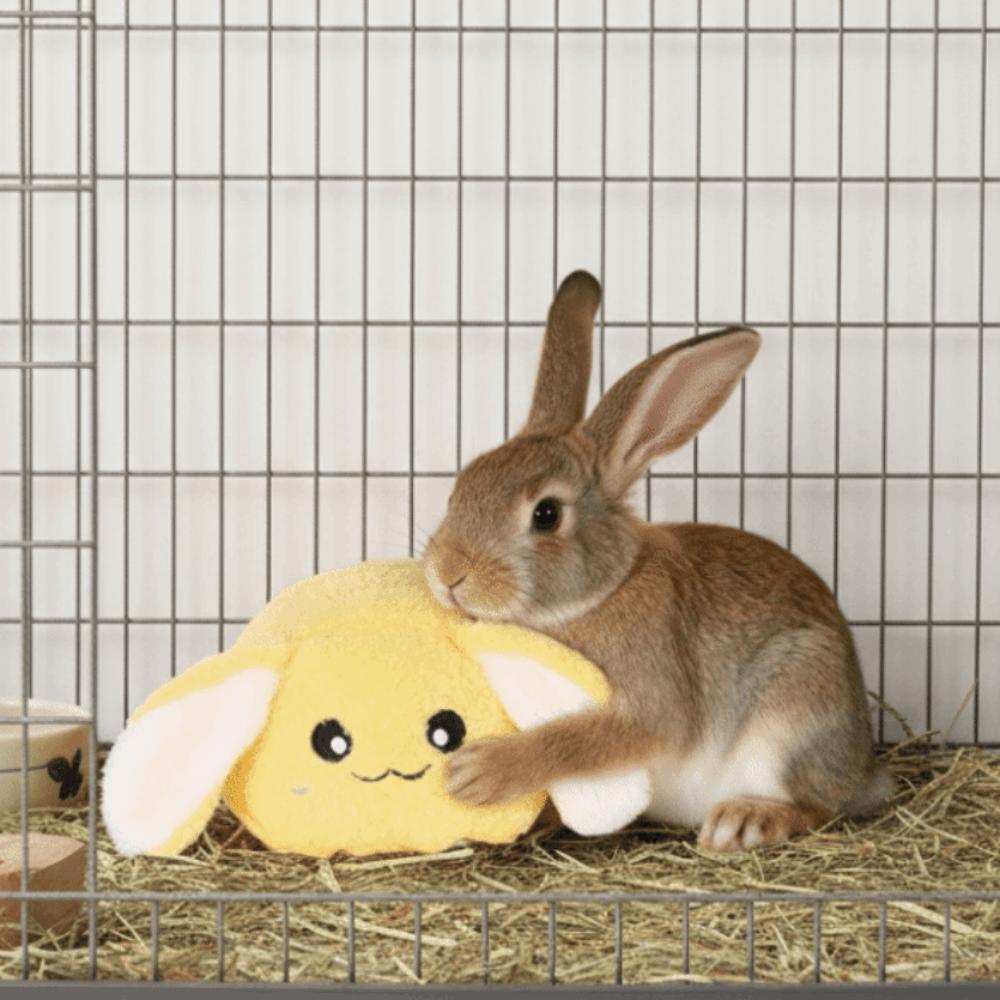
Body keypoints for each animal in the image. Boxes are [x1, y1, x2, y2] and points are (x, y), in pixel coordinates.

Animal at [422, 270, 893, 852]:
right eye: (461, 486)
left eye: (546, 514)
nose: (449, 574)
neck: (603, 589)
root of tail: (866, 770)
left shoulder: (655, 699)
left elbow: (584, 738)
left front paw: (480, 772)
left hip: (793, 717)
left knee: (818, 806)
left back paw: (746, 820)